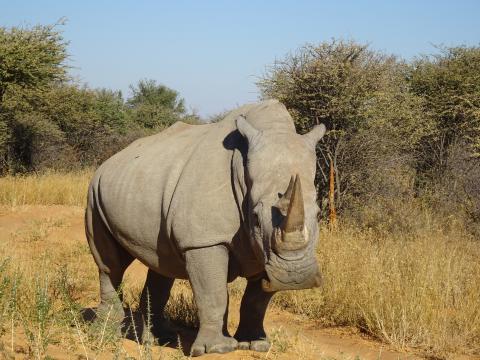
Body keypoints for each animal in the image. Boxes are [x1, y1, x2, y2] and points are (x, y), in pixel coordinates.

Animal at [85, 100, 326, 356]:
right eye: (256, 218)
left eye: (319, 215)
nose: (295, 278)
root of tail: (110, 159)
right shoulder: (203, 240)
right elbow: (213, 293)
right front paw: (218, 349)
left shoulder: (266, 252)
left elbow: (256, 301)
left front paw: (256, 344)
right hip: (94, 191)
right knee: (110, 265)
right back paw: (106, 331)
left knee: (161, 263)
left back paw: (160, 339)